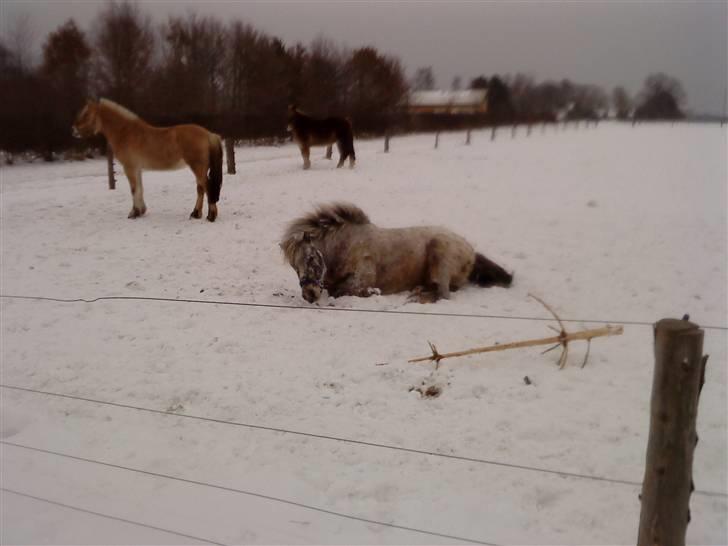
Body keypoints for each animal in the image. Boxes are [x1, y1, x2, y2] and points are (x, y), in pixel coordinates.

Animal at [73, 99, 223, 220]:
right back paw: (196, 214)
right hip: (199, 168)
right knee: (200, 188)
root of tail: (209, 134)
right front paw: (141, 211)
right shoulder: (137, 169)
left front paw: (133, 213)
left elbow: (134, 189)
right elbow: (140, 188)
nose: (74, 130)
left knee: (206, 186)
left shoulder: (130, 168)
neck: (126, 133)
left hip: (198, 167)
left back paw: (211, 216)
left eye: (86, 114)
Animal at [278, 202, 512, 302]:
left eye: (311, 257)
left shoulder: (359, 281)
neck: (348, 246)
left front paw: (373, 293)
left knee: (444, 293)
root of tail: (471, 252)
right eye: (294, 267)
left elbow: (344, 290)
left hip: (440, 253)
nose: (309, 294)